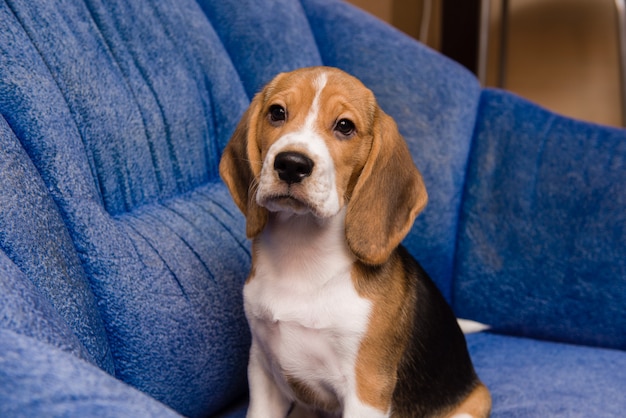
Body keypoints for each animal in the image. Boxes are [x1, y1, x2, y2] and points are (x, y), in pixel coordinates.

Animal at [218, 67, 488, 416]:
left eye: (345, 126)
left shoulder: (366, 389)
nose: (291, 164)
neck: (301, 253)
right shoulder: (263, 371)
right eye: (277, 112)